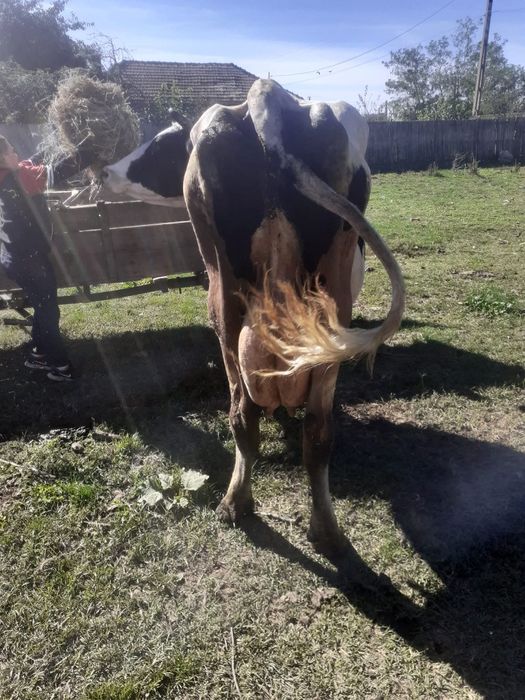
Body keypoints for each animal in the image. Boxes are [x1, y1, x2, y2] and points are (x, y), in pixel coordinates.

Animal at [102, 80, 405, 561]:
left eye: (160, 146)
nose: (105, 172)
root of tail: (269, 93)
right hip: (325, 303)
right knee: (310, 427)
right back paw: (320, 527)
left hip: (223, 296)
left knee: (247, 414)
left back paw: (238, 504)